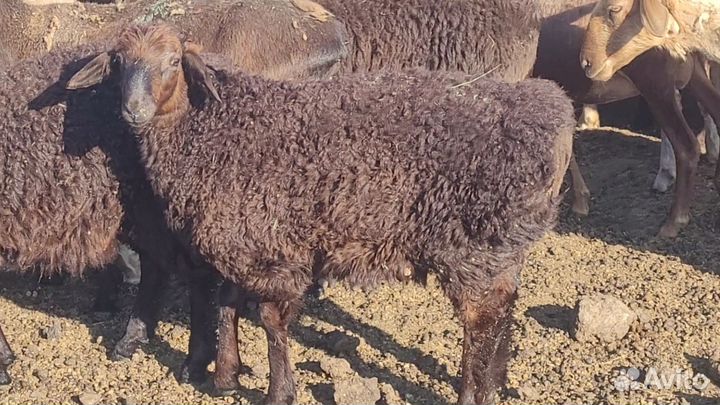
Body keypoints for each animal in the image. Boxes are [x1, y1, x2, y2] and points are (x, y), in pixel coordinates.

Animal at [67, 22, 575, 404]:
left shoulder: (273, 247)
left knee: (481, 320)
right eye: (118, 63)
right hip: (501, 244)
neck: (212, 129)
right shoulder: (242, 240)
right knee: (506, 303)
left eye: (173, 61)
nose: (133, 110)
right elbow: (228, 303)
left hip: (471, 243)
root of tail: (554, 114)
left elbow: (271, 321)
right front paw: (226, 376)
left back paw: (474, 392)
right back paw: (497, 380)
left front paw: (278, 392)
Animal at [536, 0, 720, 237]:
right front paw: (579, 199)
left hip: (656, 84)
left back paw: (674, 220)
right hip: (691, 75)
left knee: (687, 147)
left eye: (614, 10)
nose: (586, 62)